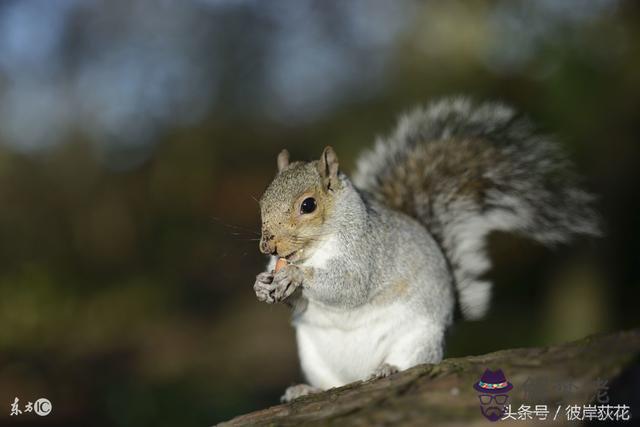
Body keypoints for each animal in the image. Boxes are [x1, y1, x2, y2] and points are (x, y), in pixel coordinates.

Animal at [251, 98, 600, 402]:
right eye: (263, 199)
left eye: (308, 205)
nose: (268, 244)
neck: (316, 250)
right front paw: (262, 285)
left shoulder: (365, 254)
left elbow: (349, 286)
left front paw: (295, 276)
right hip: (313, 356)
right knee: (332, 384)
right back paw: (306, 390)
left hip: (419, 337)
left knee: (414, 361)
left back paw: (387, 369)